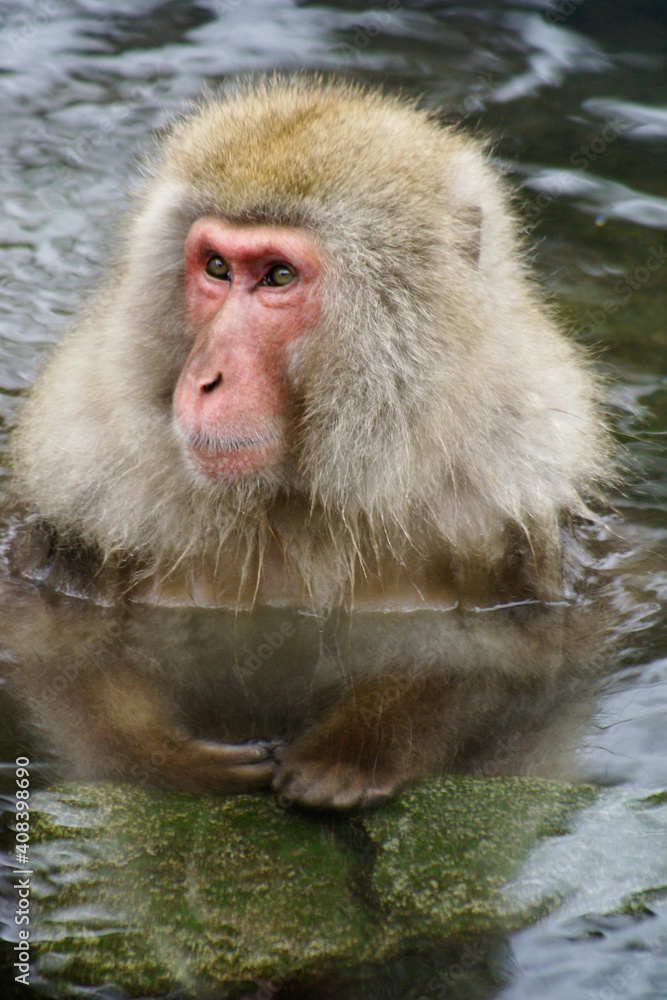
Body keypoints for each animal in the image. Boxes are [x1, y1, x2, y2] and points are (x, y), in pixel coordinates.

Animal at [2, 75, 614, 808]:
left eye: (278, 276)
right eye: (216, 267)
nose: (204, 378)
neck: (297, 497)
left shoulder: (515, 502)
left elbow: (516, 661)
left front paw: (355, 749)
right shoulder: (85, 478)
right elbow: (52, 644)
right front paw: (165, 760)